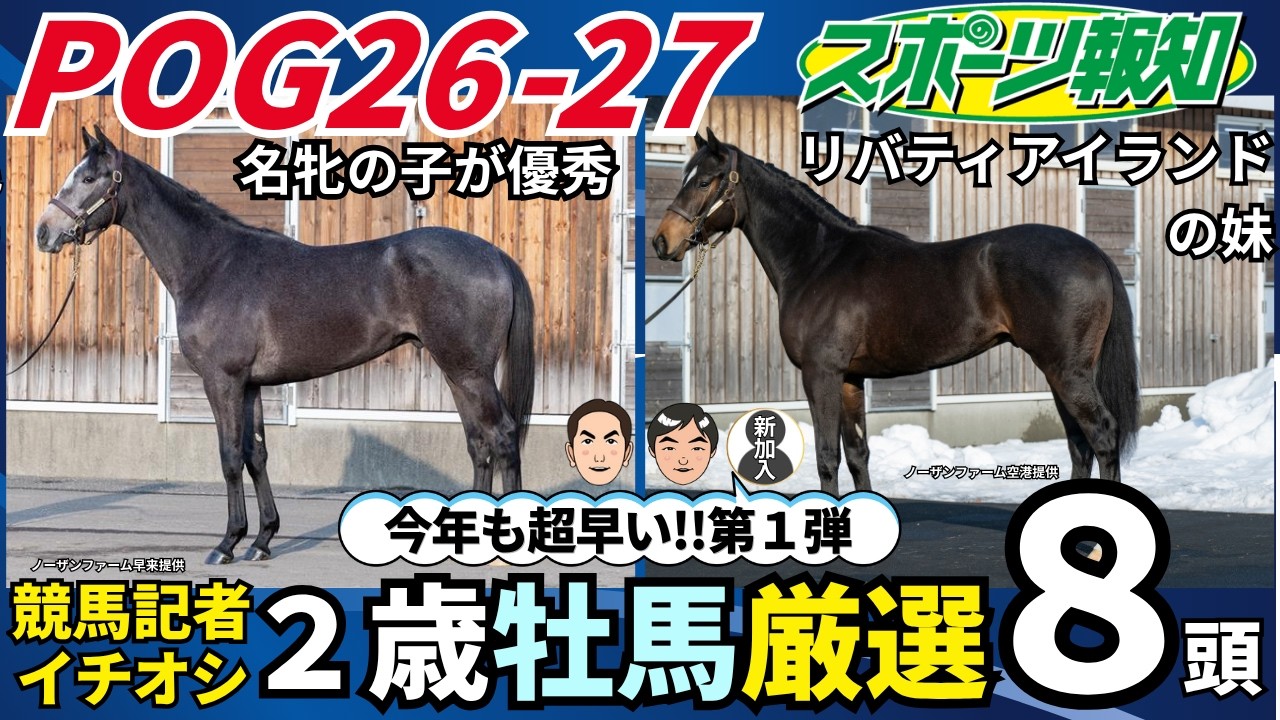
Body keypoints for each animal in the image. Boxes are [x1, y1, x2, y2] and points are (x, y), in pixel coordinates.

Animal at [33, 126, 535, 564]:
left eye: (90, 178)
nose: (44, 232)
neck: (213, 265)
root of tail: (495, 255)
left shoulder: (223, 382)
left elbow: (230, 457)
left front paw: (228, 543)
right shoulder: (251, 385)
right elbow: (256, 456)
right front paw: (262, 540)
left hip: (469, 371)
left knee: (502, 436)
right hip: (457, 371)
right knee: (479, 443)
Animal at [652, 130, 1140, 496]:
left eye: (705, 181)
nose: (662, 241)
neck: (818, 260)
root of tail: (1094, 252)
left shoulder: (821, 374)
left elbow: (827, 456)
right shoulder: (850, 379)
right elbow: (857, 455)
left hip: (1066, 370)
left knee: (1101, 436)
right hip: (1060, 372)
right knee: (1079, 445)